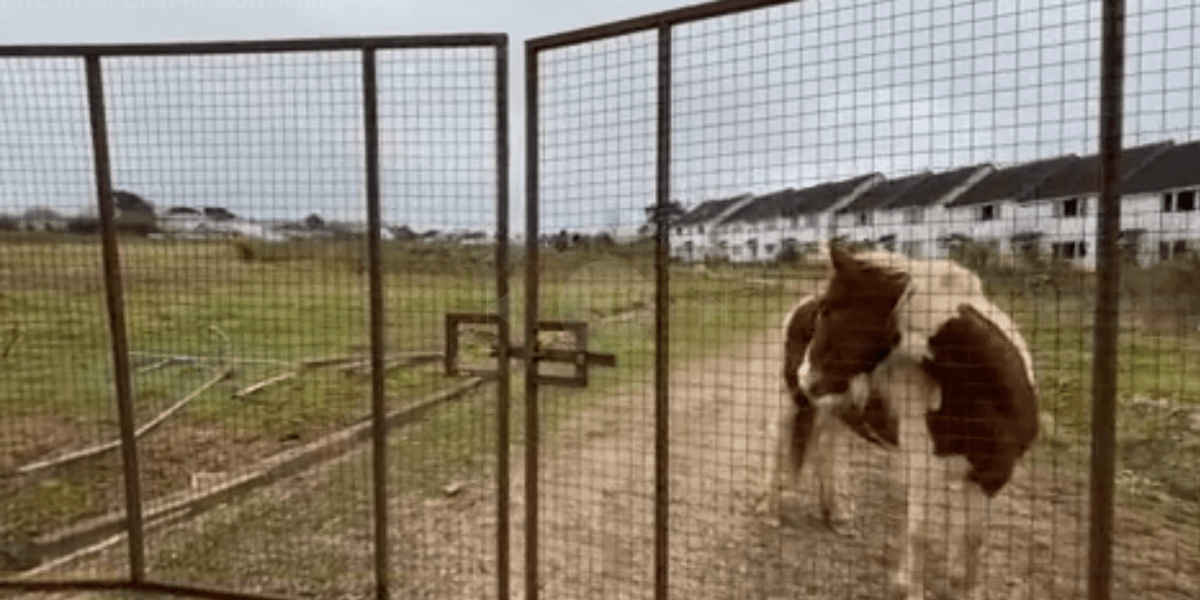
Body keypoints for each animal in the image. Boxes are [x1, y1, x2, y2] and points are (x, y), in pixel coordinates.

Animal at [768, 244, 1039, 600]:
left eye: (828, 311)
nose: (805, 376)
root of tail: (798, 306)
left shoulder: (991, 474)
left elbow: (973, 538)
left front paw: (964, 588)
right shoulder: (924, 469)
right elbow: (919, 533)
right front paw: (910, 588)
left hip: (835, 411)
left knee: (826, 449)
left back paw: (837, 516)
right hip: (791, 402)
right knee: (778, 445)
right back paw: (773, 512)